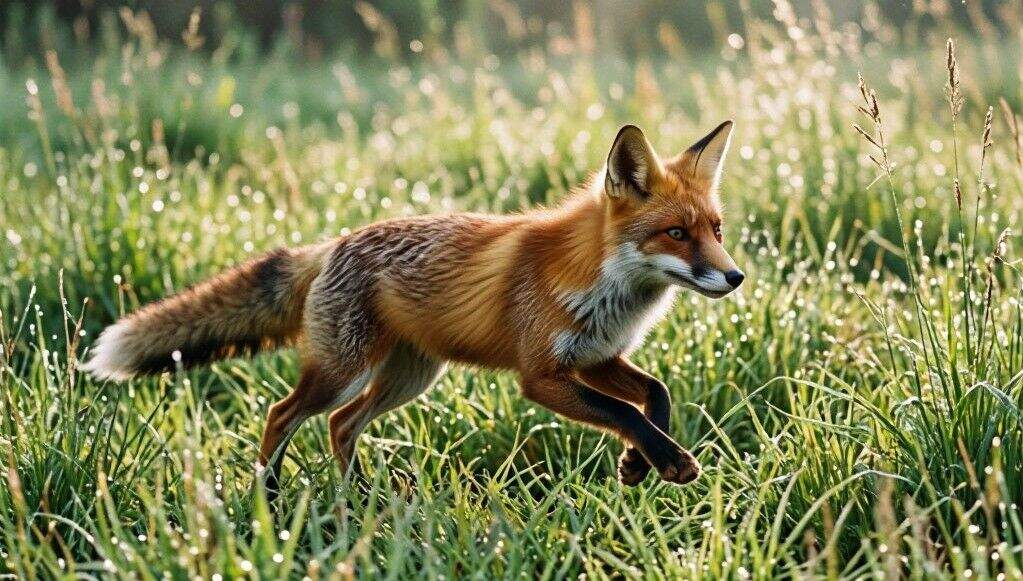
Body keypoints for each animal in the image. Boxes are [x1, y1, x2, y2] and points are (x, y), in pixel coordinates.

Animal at [82, 121, 744, 491]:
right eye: (676, 235)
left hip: (408, 379)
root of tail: (333, 244)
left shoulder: (595, 358)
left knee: (339, 426)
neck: (605, 287)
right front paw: (664, 460)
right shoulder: (541, 376)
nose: (735, 277)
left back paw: (358, 501)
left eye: (715, 228)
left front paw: (640, 463)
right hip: (343, 372)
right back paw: (267, 498)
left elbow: (655, 395)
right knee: (282, 414)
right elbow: (626, 412)